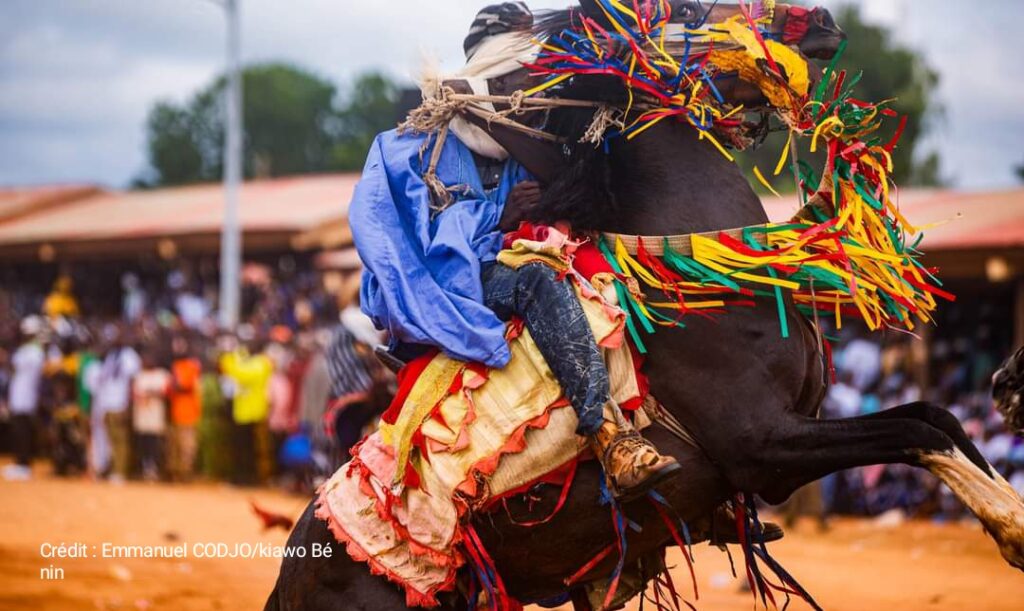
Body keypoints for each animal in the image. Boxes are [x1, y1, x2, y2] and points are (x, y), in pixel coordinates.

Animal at [266, 2, 1024, 605]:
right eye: (683, 10)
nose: (817, 20)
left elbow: (934, 416)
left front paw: (1009, 511)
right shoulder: (765, 446)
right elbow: (919, 432)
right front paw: (1012, 525)